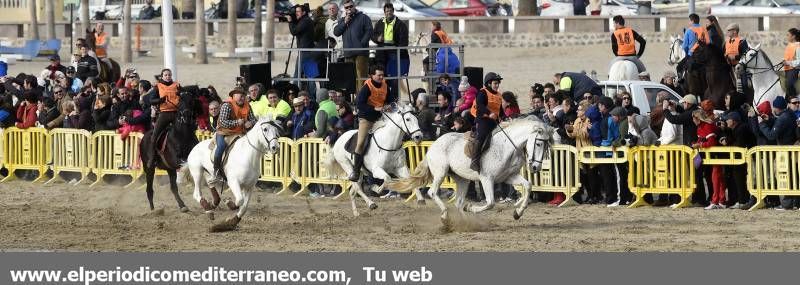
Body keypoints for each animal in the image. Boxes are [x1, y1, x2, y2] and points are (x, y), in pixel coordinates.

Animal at [386, 115, 552, 222]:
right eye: (538, 143)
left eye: (546, 146)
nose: (535, 167)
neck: (507, 147)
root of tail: (433, 145)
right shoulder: (486, 178)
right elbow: (490, 202)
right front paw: (471, 208)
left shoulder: (508, 177)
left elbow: (528, 186)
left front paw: (518, 211)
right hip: (441, 173)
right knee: (433, 192)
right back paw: (445, 215)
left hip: (463, 180)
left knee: (458, 202)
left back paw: (465, 222)